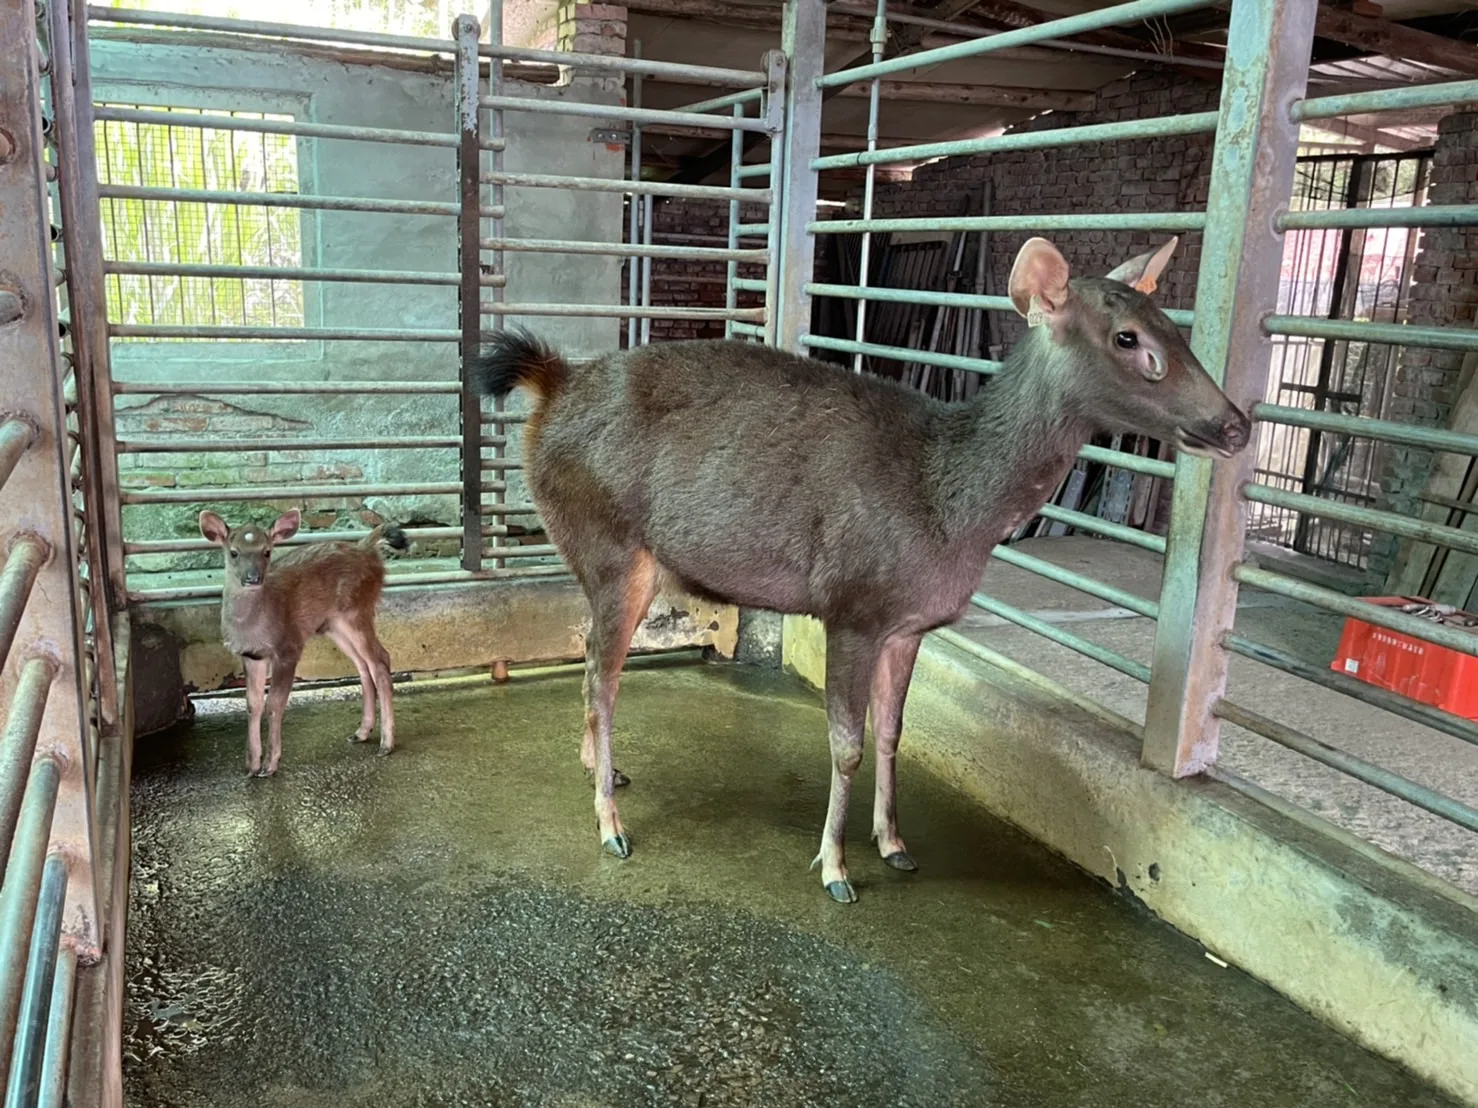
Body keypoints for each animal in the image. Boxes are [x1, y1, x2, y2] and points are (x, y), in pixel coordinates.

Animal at [198, 509, 407, 777]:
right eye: (233, 552)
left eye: (267, 551)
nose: (253, 578)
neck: (255, 627)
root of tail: (368, 548)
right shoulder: (252, 655)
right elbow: (253, 704)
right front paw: (251, 764)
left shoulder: (288, 647)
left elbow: (274, 703)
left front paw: (270, 765)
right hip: (333, 624)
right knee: (363, 665)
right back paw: (361, 733)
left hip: (357, 610)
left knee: (380, 659)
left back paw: (386, 744)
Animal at [470, 236, 1251, 903]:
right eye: (1128, 338)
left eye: (1175, 327)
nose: (1236, 424)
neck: (950, 509)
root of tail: (552, 386)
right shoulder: (853, 603)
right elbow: (845, 745)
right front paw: (835, 867)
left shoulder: (909, 624)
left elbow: (892, 731)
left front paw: (895, 843)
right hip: (611, 544)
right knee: (602, 678)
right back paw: (610, 824)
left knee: (587, 656)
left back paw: (600, 769)